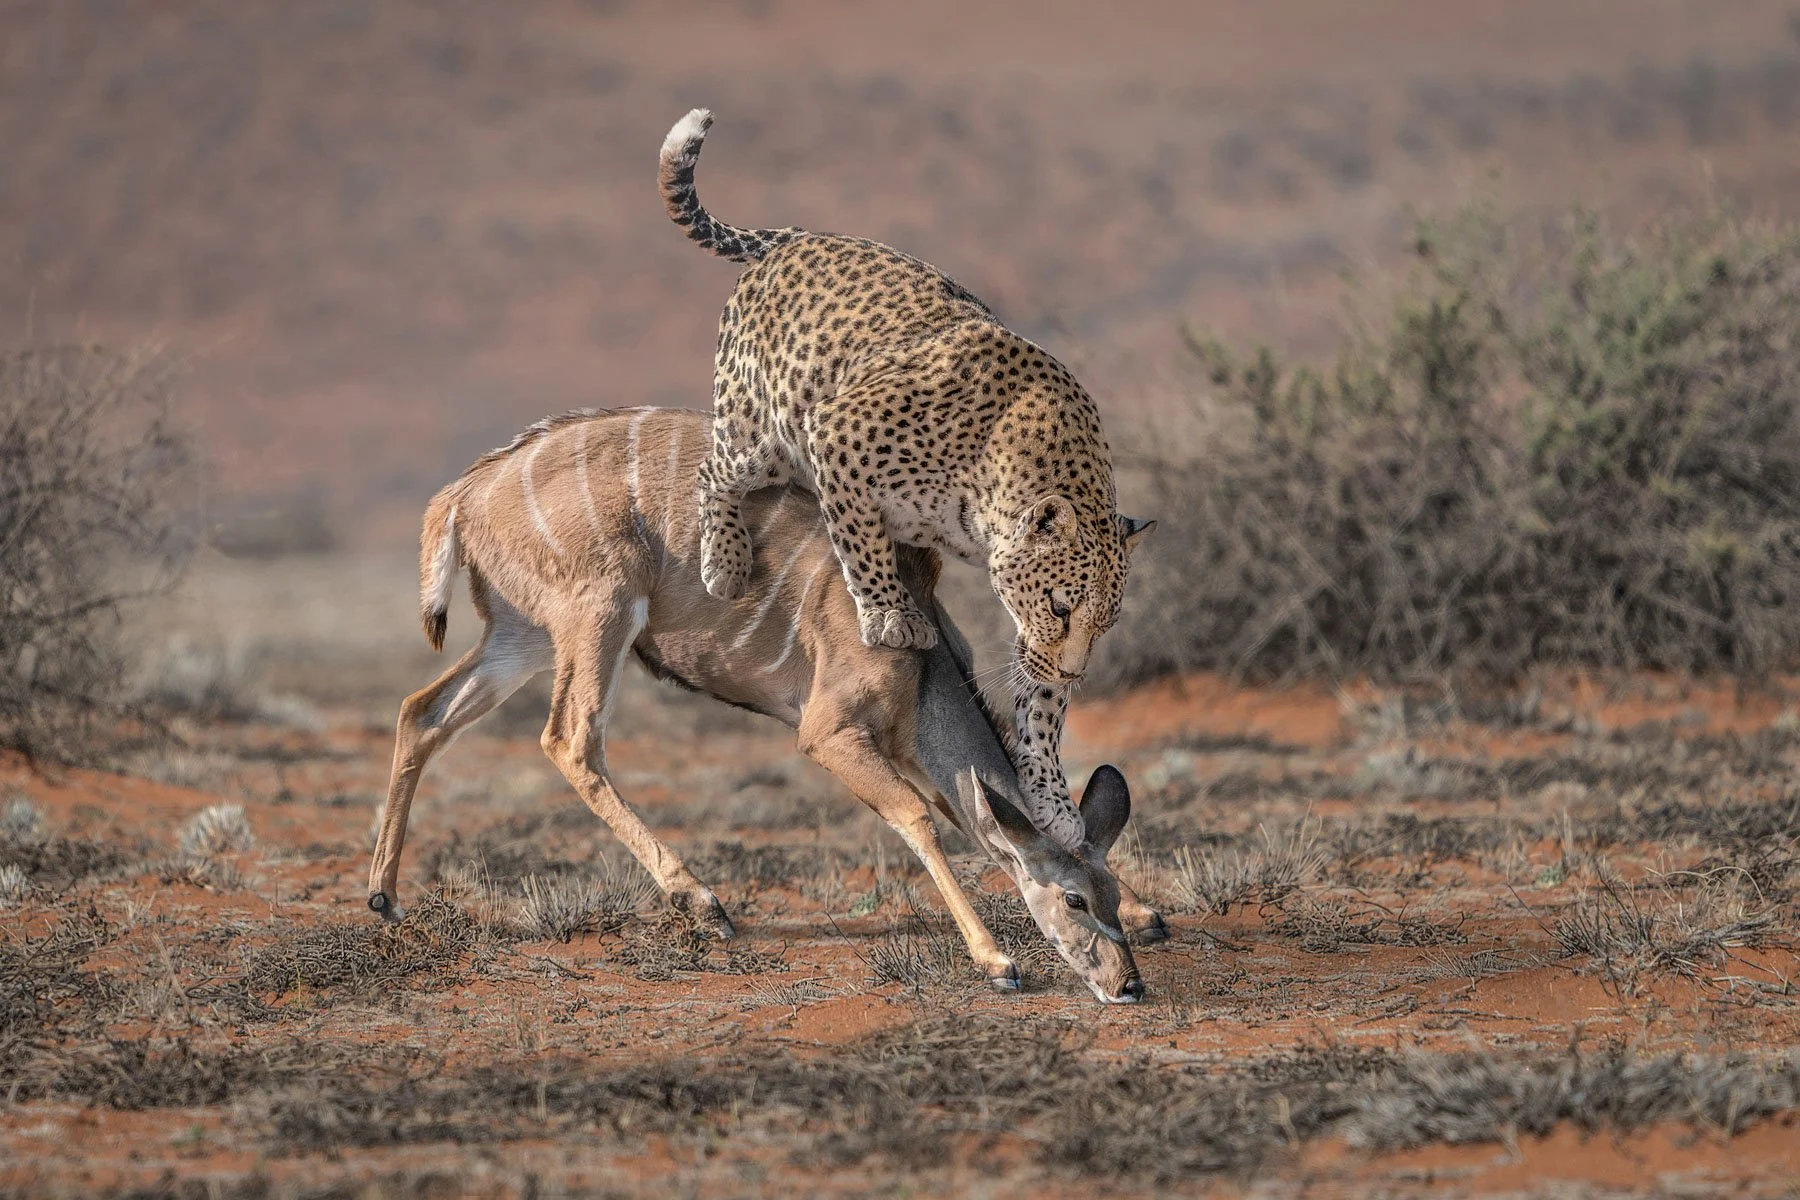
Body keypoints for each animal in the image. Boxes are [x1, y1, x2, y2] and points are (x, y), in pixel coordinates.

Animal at [368, 407, 1165, 1001]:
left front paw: (1151, 913)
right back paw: (704, 903)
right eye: (1073, 901)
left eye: (1105, 893)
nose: (1127, 986)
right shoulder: (826, 733)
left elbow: (968, 814)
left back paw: (384, 898)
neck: (921, 652)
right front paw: (997, 962)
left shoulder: (905, 745)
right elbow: (918, 819)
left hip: (522, 637)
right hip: (599, 613)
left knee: (421, 711)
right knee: (569, 739)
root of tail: (461, 497)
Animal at [658, 108, 1153, 849]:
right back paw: (726, 559)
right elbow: (859, 540)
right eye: (1061, 606)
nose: (1076, 672)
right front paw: (890, 617)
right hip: (761, 428)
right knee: (715, 469)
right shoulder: (837, 432)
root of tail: (799, 237)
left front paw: (1052, 798)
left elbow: (1038, 707)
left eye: (1106, 621)